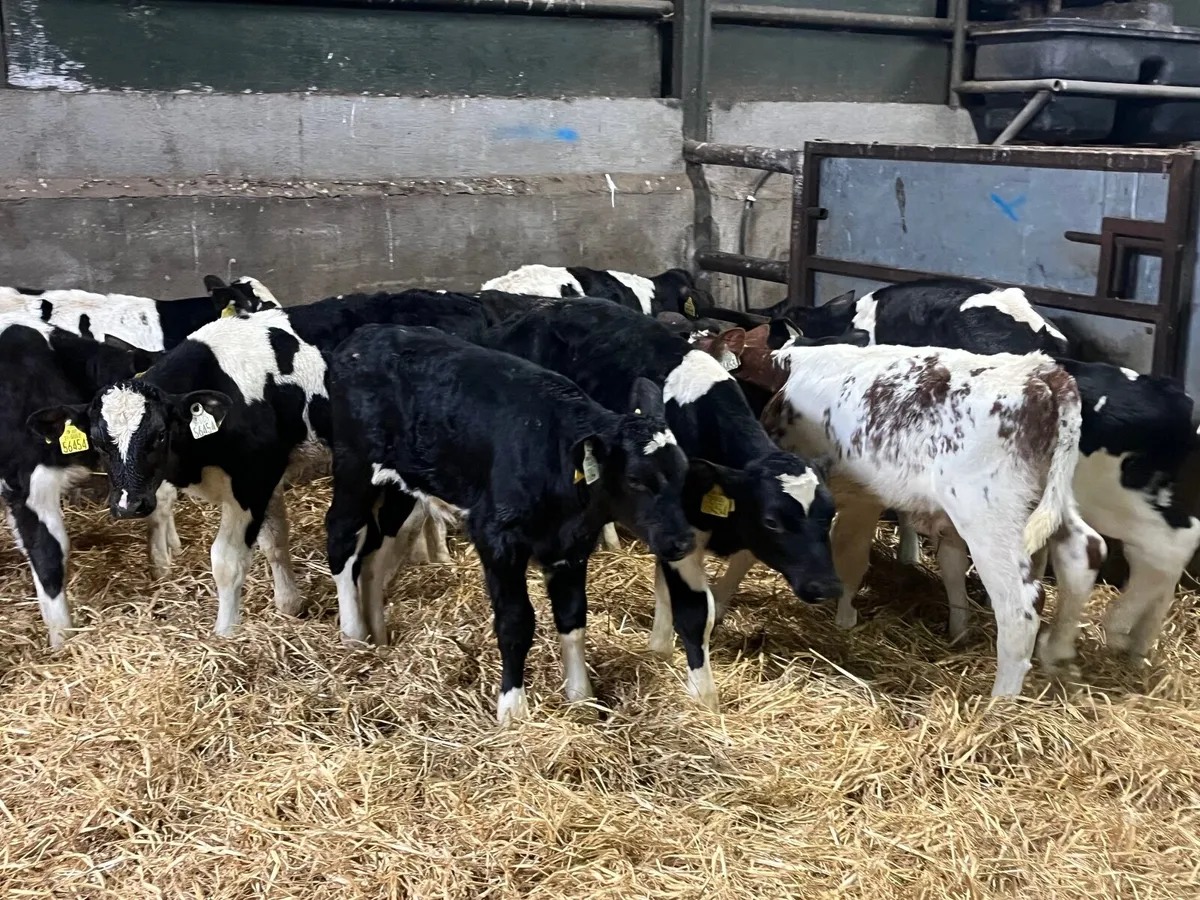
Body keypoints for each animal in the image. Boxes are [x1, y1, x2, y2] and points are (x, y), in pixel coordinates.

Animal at [31, 309, 331, 637]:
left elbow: (227, 561)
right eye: (97, 441)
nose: (128, 505)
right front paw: (290, 604)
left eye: (161, 435)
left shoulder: (251, 480)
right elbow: (274, 541)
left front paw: (224, 634)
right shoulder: (267, 477)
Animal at [324, 324, 697, 723]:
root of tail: (365, 335)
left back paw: (377, 636)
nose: (682, 541)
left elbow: (573, 618)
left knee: (374, 555)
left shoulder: (572, 547)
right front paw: (512, 709)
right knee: (341, 536)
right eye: (636, 480)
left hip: (401, 485)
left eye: (683, 473)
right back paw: (353, 635)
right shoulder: (497, 539)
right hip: (354, 466)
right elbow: (516, 622)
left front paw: (581, 698)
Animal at [480, 299, 843, 711]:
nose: (827, 585)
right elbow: (695, 610)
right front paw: (704, 697)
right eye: (772, 521)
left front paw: (661, 644)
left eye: (829, 515)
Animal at [758, 344, 1097, 697]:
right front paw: (958, 632)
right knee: (1084, 551)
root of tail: (1040, 371)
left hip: (989, 515)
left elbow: (849, 556)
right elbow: (945, 564)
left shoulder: (856, 499)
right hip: (1050, 498)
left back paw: (1001, 700)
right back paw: (1058, 652)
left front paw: (843, 621)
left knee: (1020, 606)